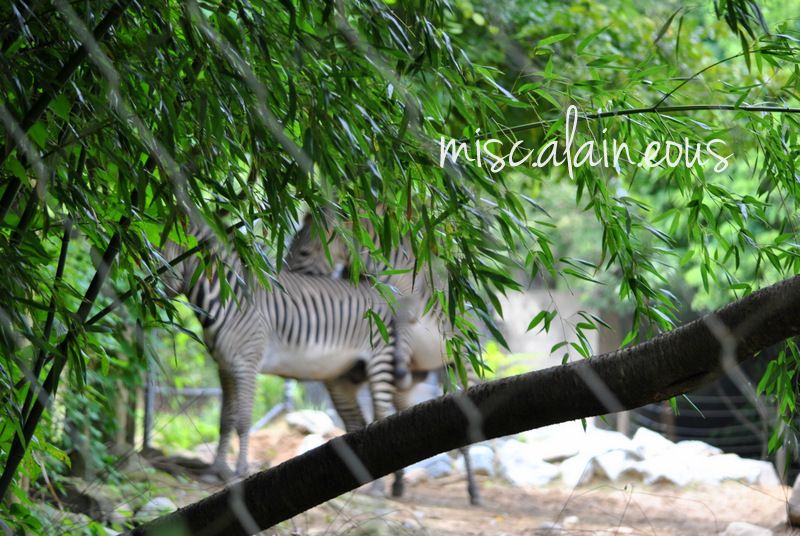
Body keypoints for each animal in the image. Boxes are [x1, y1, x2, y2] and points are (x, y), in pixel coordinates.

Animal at [162, 225, 412, 478]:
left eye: (161, 257)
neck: (229, 297)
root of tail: (380, 291)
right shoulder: (224, 367)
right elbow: (225, 420)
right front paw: (217, 470)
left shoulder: (247, 364)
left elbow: (243, 420)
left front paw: (240, 471)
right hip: (345, 375)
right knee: (358, 423)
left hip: (379, 360)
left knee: (381, 417)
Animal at [286, 213, 482, 502]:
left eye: (304, 252)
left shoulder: (414, 320)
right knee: (398, 413)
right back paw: (397, 483)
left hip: (457, 361)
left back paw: (473, 491)